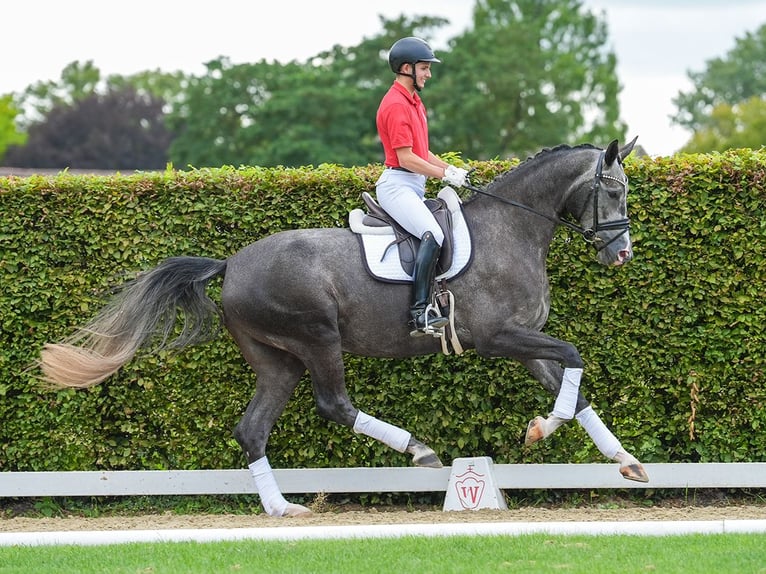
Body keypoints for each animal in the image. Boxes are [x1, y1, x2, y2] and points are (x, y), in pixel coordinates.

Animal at [40, 138, 648, 516]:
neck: (513, 228)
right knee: (333, 404)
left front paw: (624, 461)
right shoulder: (499, 338)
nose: (621, 255)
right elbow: (574, 357)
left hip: (278, 360)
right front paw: (543, 429)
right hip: (317, 337)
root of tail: (231, 264)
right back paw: (418, 451)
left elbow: (572, 383)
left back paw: (282, 508)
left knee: (252, 429)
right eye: (614, 191)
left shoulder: (522, 342)